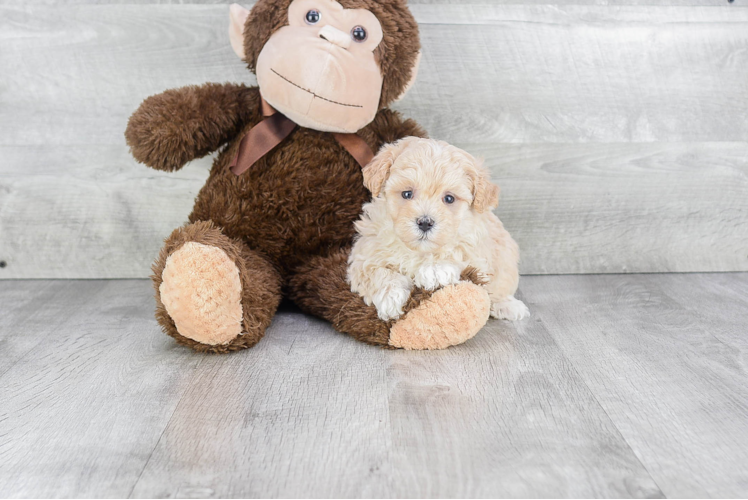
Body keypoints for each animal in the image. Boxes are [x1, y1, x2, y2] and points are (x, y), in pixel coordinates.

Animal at [350, 138, 528, 320]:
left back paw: (508, 306)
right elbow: (376, 272)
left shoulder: (477, 251)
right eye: (407, 194)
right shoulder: (364, 255)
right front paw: (390, 296)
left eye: (449, 198)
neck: (419, 251)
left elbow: (459, 253)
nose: (425, 223)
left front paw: (435, 269)